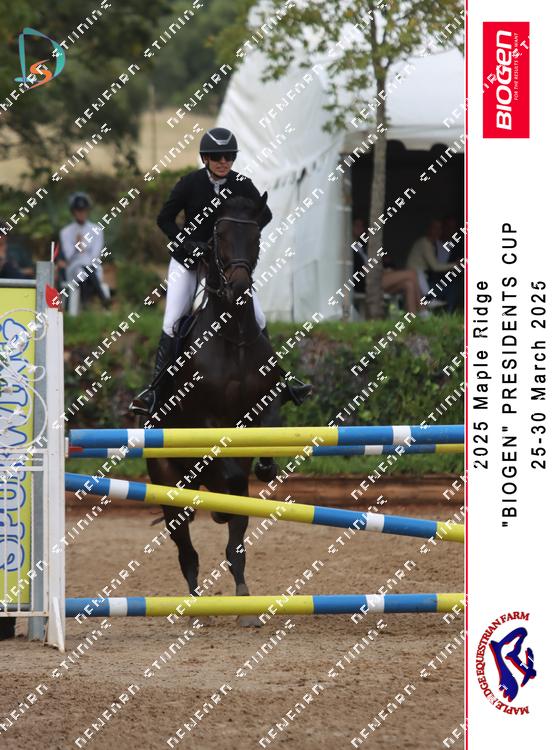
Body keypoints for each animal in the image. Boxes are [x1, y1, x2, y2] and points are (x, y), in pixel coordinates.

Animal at [146, 193, 282, 627]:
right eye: (218, 235)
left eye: (255, 235)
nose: (238, 285)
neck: (232, 334)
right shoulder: (202, 418)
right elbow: (226, 463)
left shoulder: (264, 406)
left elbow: (259, 446)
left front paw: (264, 467)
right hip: (167, 485)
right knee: (186, 547)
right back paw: (195, 608)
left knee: (234, 529)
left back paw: (243, 597)